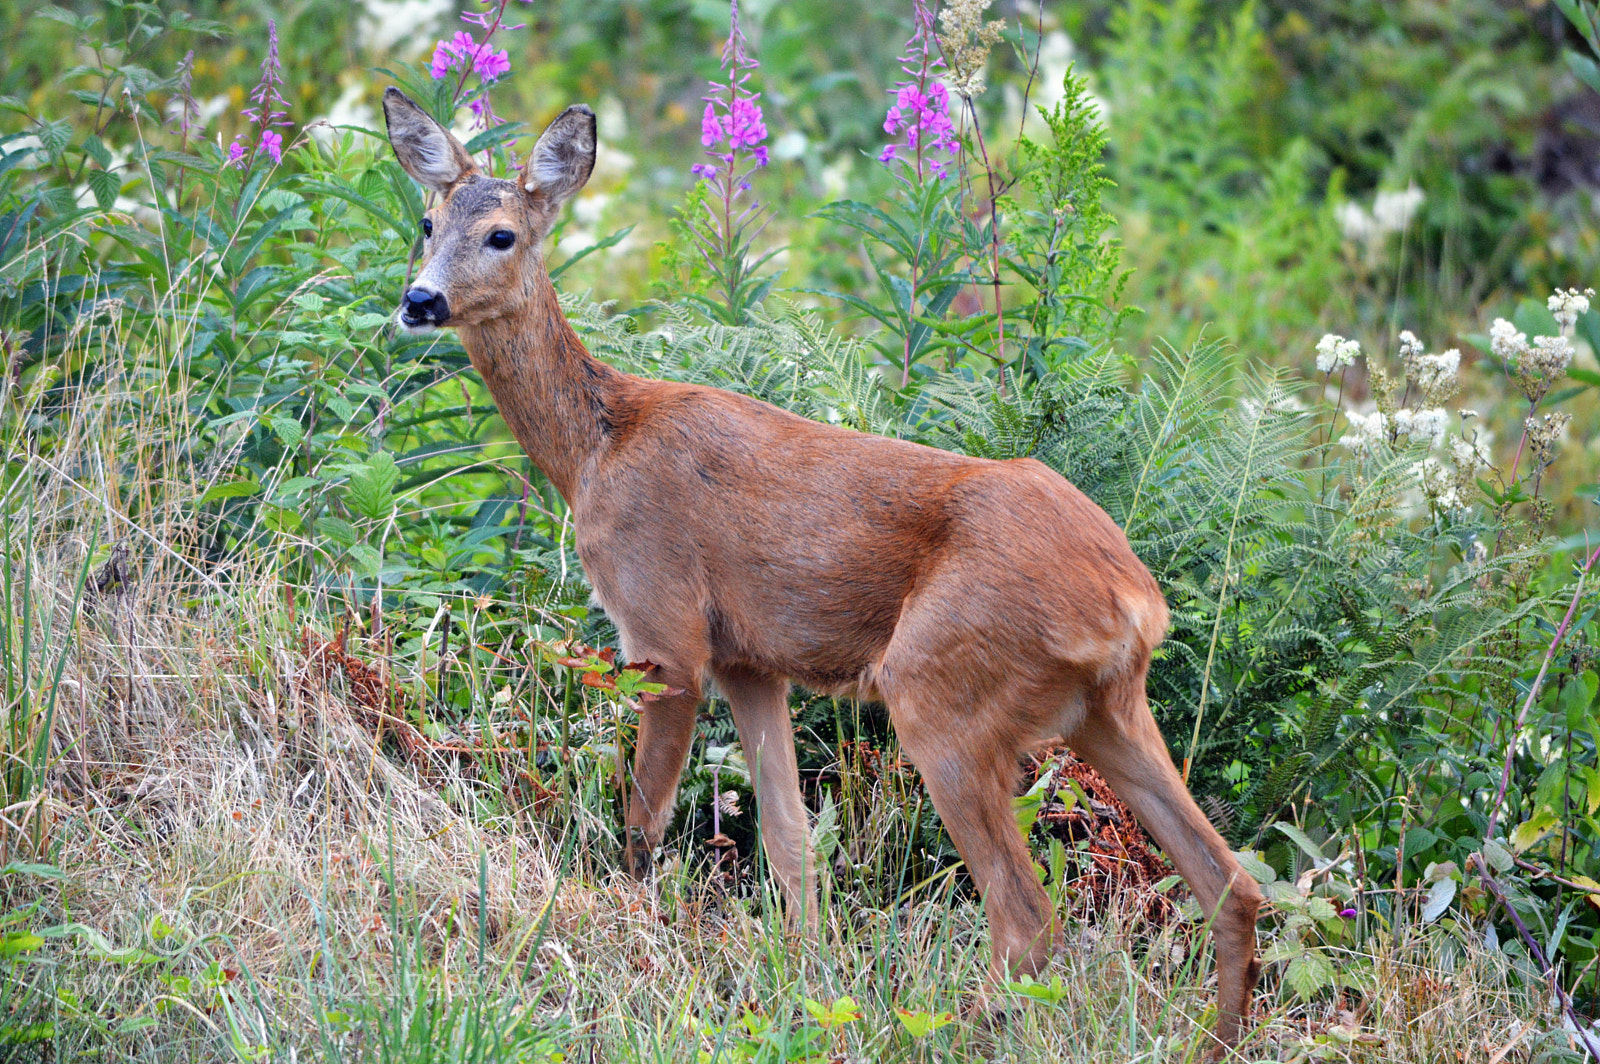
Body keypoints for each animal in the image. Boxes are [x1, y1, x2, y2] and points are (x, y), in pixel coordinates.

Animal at [381, 86, 1263, 1051]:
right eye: (426, 221)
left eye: (502, 234)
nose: (419, 299)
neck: (595, 449)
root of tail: (1132, 599)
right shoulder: (751, 660)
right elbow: (792, 844)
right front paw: (804, 981)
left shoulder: (665, 629)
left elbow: (644, 822)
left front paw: (632, 929)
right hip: (1105, 709)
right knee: (1232, 883)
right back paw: (1215, 1038)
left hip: (942, 692)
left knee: (1030, 917)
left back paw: (942, 1031)